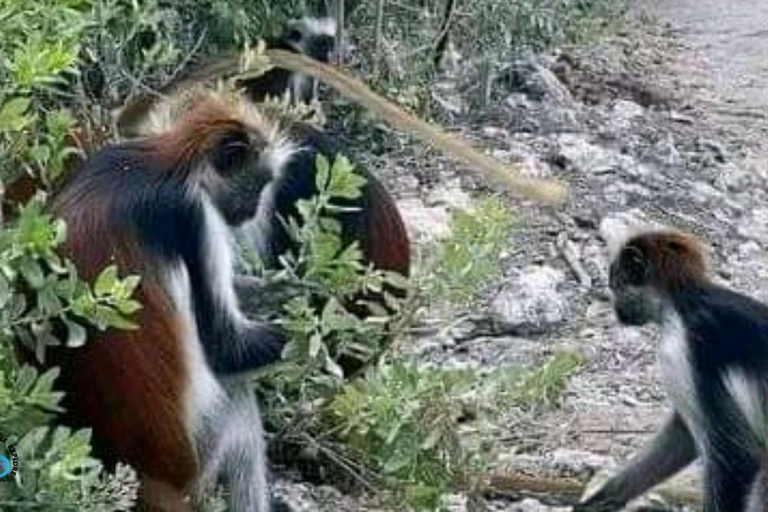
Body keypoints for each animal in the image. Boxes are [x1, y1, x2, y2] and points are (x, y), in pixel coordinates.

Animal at [580, 231, 764, 512]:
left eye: (615, 285)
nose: (615, 309)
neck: (683, 302)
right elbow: (682, 436)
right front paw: (601, 500)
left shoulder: (683, 345)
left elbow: (739, 457)